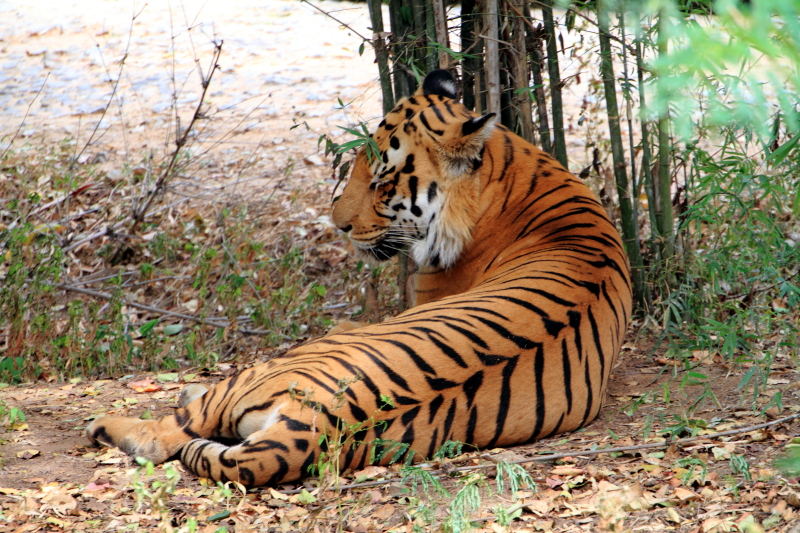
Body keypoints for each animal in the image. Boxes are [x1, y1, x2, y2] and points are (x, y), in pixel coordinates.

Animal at [86, 69, 632, 486]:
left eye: (383, 182)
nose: (337, 223)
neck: (508, 170)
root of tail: (314, 425)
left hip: (268, 369)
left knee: (162, 437)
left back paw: (113, 421)